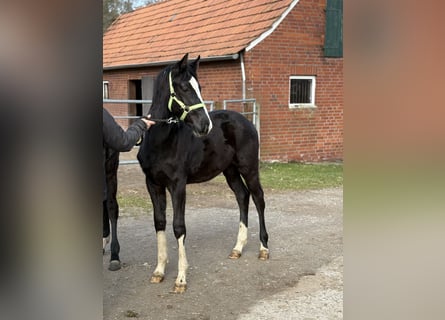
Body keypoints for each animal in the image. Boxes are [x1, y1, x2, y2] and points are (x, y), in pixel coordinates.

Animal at [136, 53, 268, 294]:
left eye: (200, 87)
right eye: (184, 88)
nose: (204, 125)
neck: (161, 141)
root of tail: (245, 120)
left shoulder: (178, 185)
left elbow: (179, 226)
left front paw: (180, 279)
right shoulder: (153, 184)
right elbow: (159, 222)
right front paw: (159, 271)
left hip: (249, 168)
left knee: (258, 199)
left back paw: (263, 248)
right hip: (230, 171)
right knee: (242, 197)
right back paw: (238, 248)